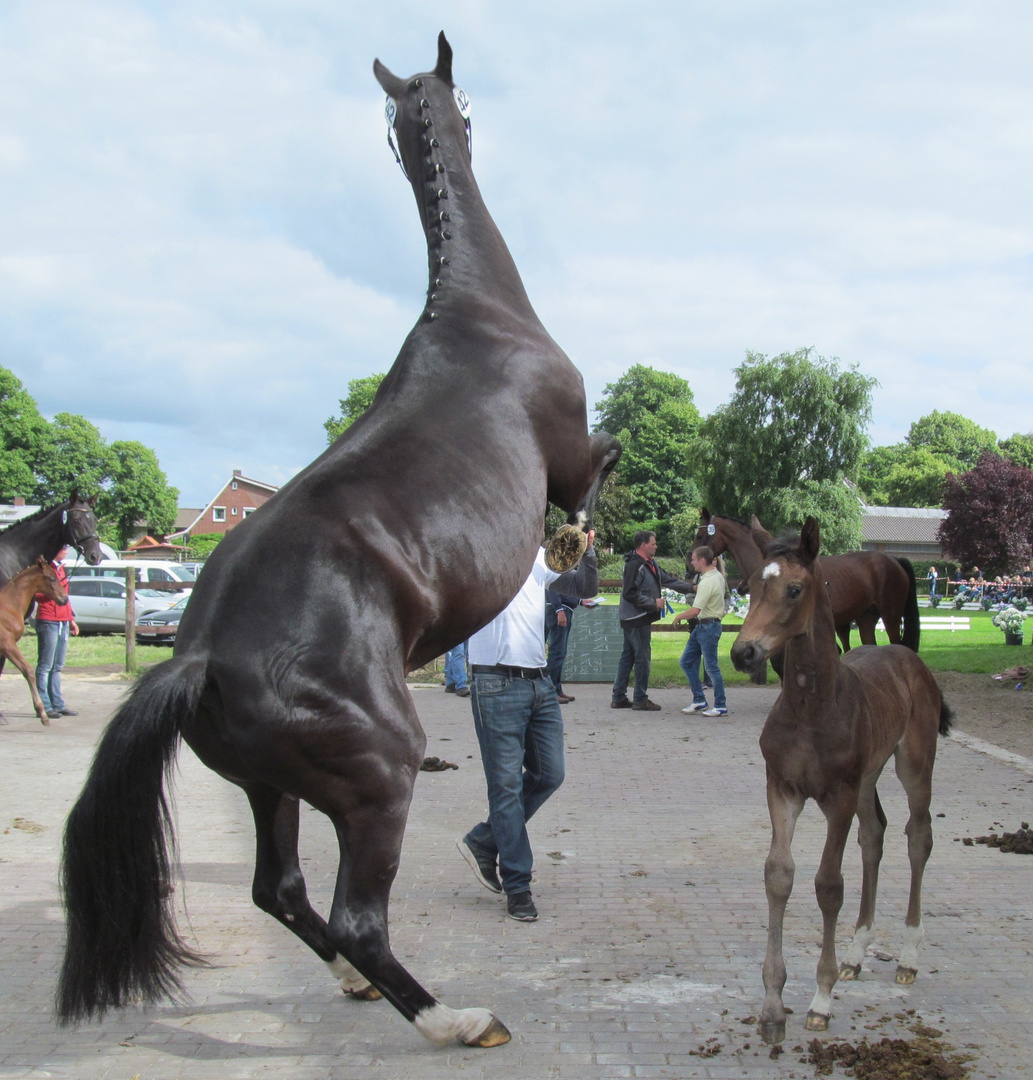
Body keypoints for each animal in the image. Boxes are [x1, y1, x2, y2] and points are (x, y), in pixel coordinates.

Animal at [0, 557, 67, 725]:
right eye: (52, 578)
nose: (64, 599)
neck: (8, 605)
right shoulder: (8, 645)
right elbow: (28, 671)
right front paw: (42, 713)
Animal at [58, 33, 622, 1045]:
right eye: (465, 102)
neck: (480, 316)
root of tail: (196, 657)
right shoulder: (568, 457)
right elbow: (600, 471)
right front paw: (577, 540)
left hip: (268, 788)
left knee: (277, 890)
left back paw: (363, 987)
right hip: (377, 781)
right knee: (357, 918)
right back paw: (453, 1018)